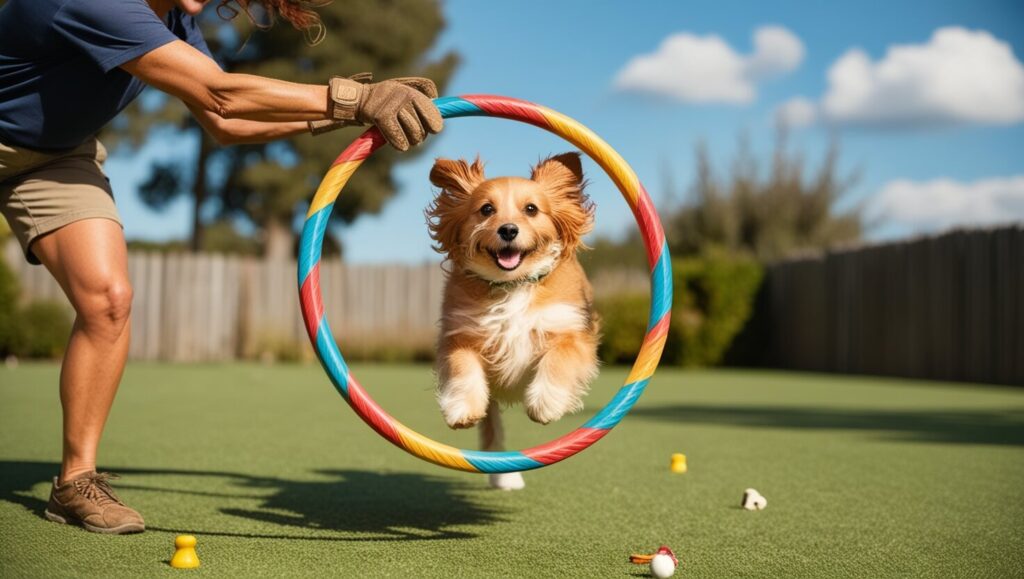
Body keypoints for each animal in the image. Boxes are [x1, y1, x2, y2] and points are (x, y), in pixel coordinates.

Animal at [423, 152, 598, 487]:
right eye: (486, 209)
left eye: (531, 209)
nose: (508, 230)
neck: (513, 286)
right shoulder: (460, 332)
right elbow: (463, 367)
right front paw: (461, 408)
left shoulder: (570, 329)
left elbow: (559, 359)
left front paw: (546, 403)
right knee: (492, 429)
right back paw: (504, 476)